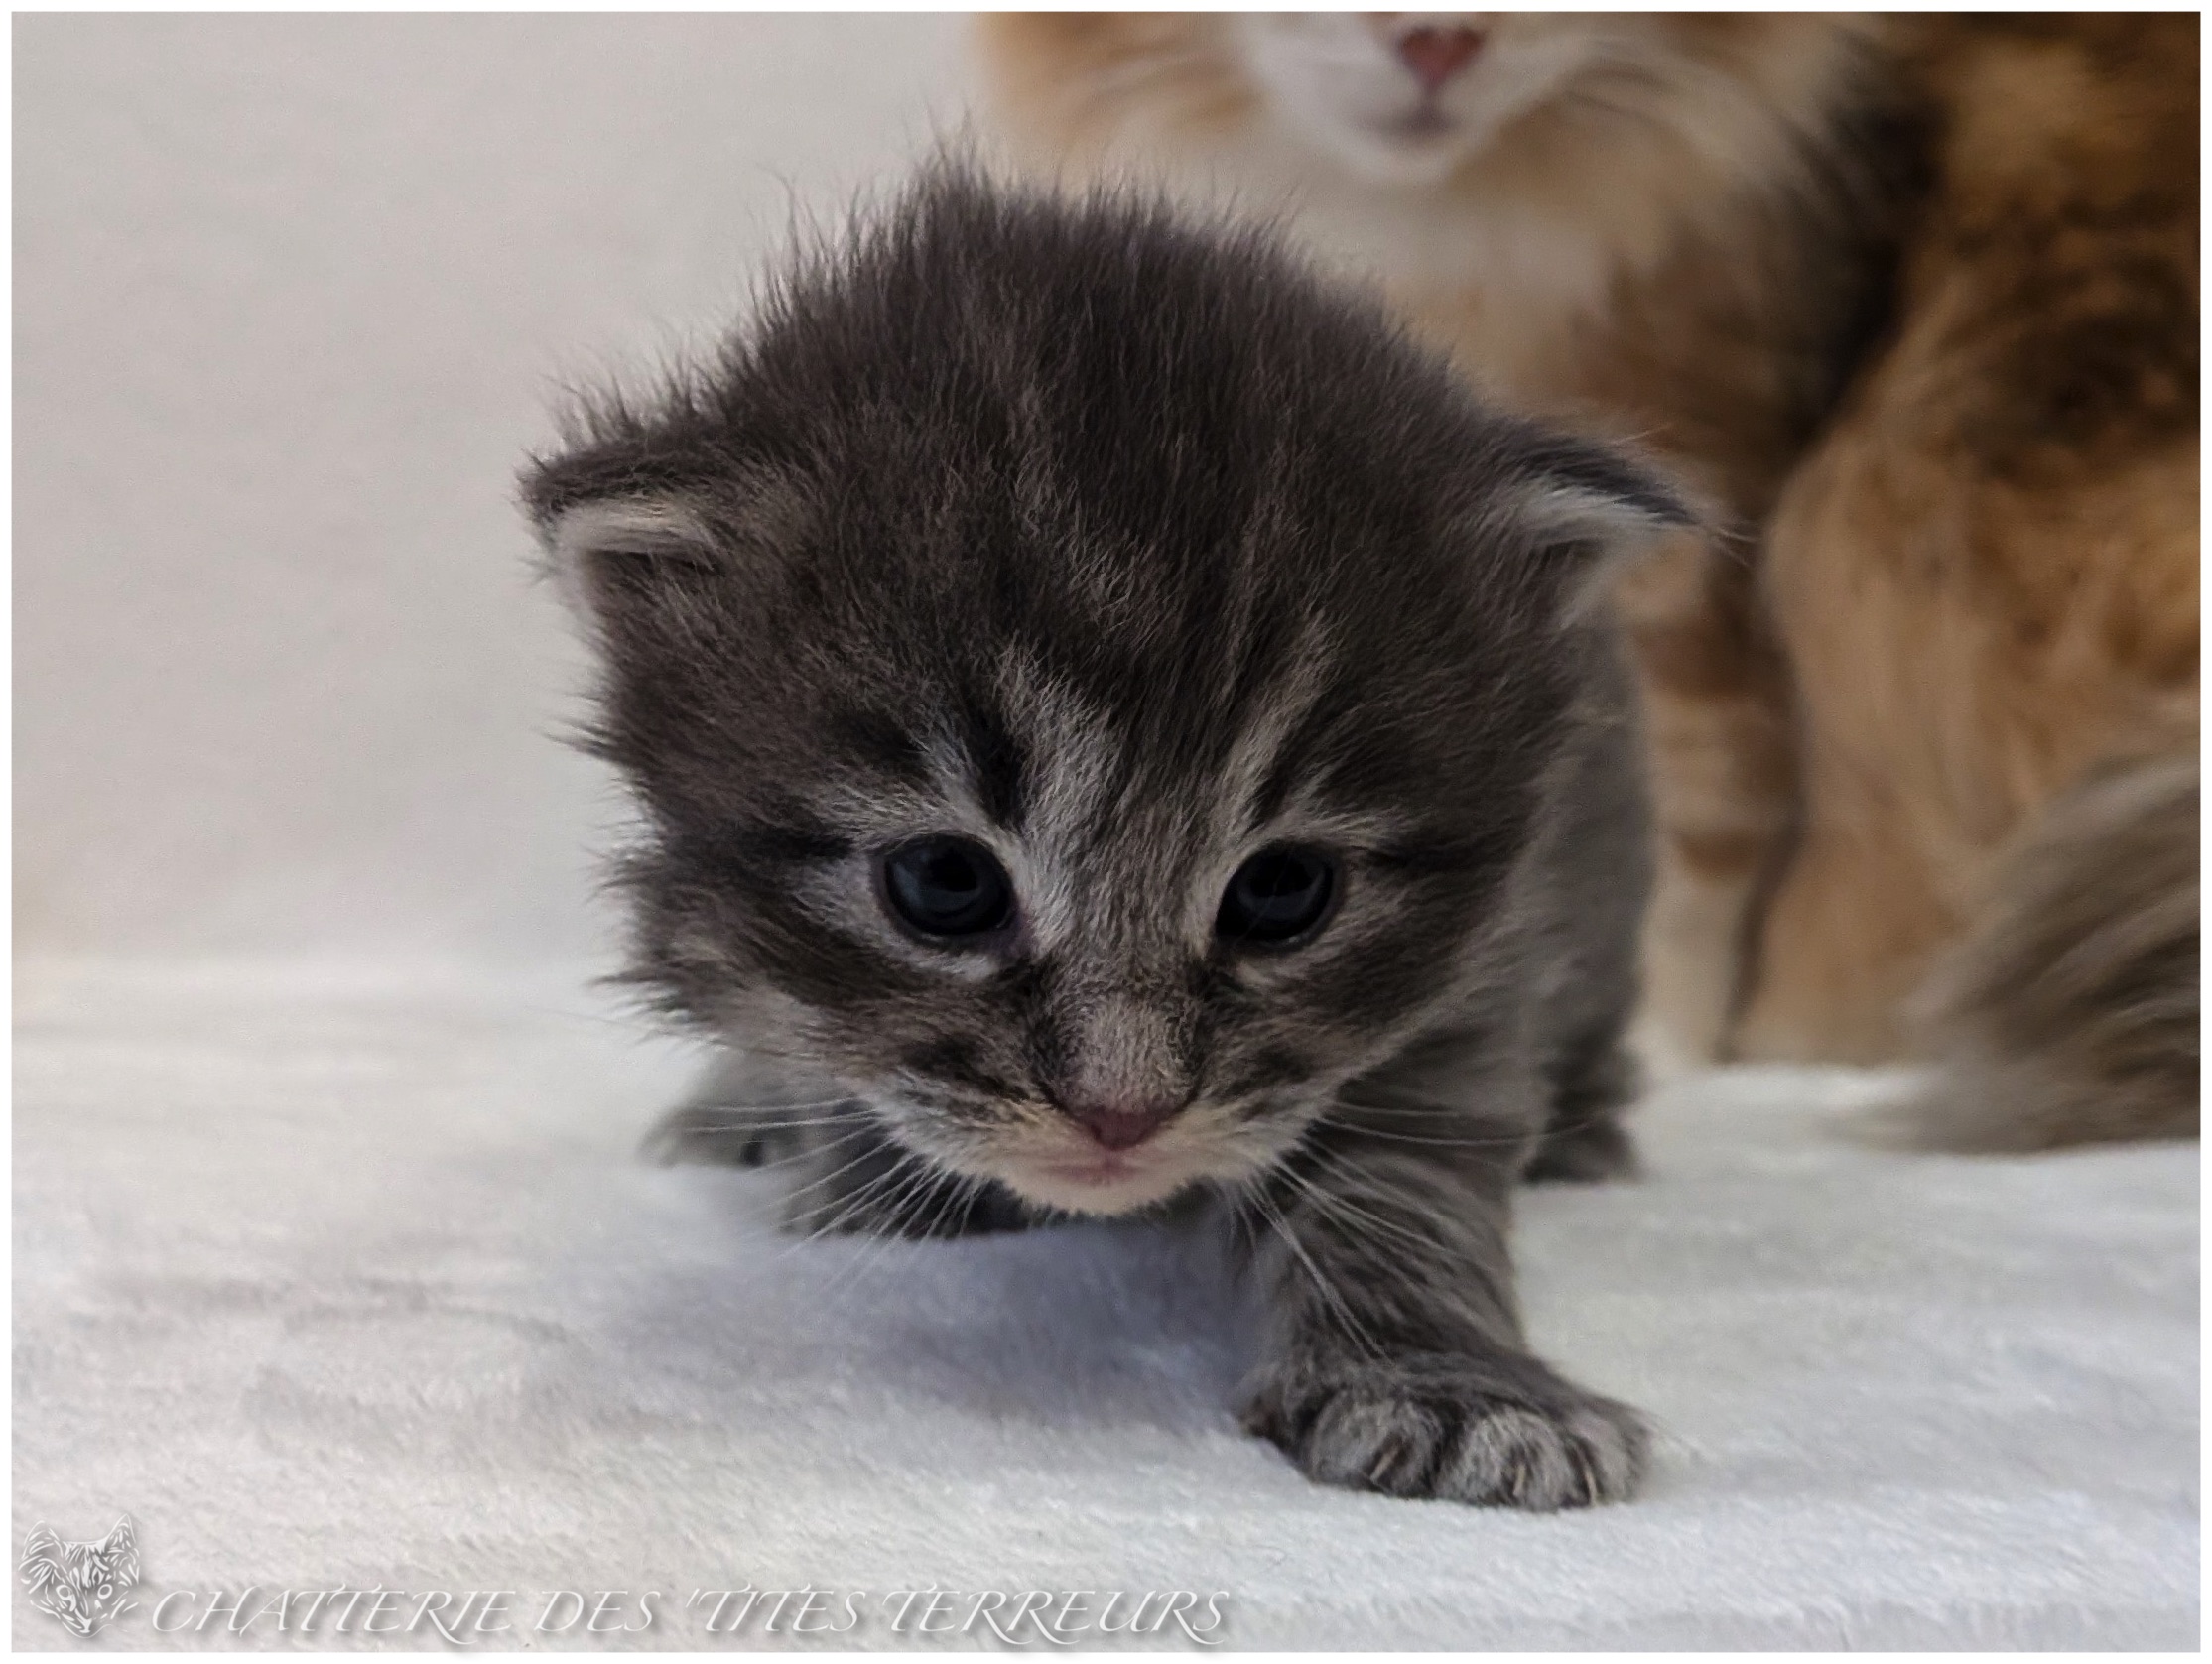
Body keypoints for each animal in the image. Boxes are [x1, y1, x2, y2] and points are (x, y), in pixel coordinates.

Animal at [523, 165, 1689, 1508]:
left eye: (1284, 892)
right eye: (944, 882)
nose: (1120, 1118)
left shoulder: (1485, 961)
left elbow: (1405, 1170)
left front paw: (1446, 1381)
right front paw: (880, 1192)